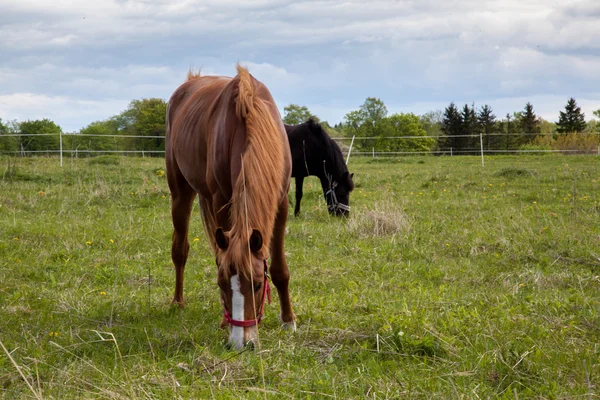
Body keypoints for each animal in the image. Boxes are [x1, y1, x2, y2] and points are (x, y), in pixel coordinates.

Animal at [165, 64, 296, 348]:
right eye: (221, 283)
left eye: (257, 284)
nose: (240, 343)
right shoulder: (222, 203)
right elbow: (219, 258)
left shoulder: (280, 204)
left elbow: (279, 269)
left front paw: (288, 321)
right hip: (181, 193)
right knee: (180, 250)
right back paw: (178, 302)